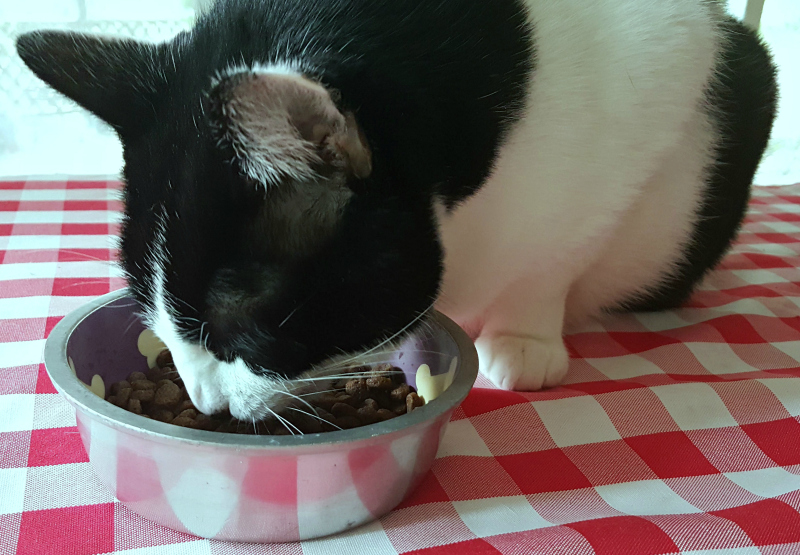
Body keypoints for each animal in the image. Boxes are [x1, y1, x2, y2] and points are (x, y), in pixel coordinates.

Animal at [18, 0, 780, 422]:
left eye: (240, 326)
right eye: (156, 316)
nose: (205, 401)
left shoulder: (663, 74)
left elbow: (560, 248)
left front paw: (526, 334)